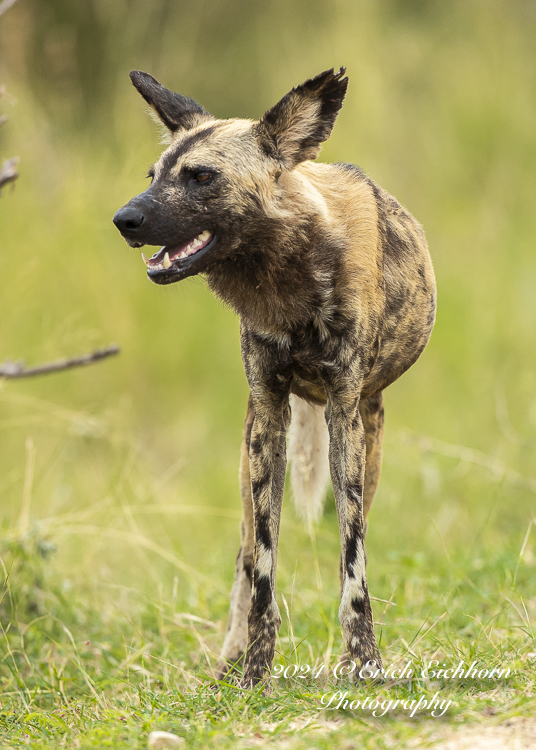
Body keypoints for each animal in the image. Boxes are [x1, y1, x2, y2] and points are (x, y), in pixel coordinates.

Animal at [113, 69, 436, 688]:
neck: (288, 283)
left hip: (367, 436)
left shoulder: (343, 414)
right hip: (251, 456)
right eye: (153, 176)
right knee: (243, 559)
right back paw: (229, 659)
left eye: (201, 177)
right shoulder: (268, 415)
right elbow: (262, 566)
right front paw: (255, 672)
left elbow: (353, 564)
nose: (124, 220)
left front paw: (362, 662)